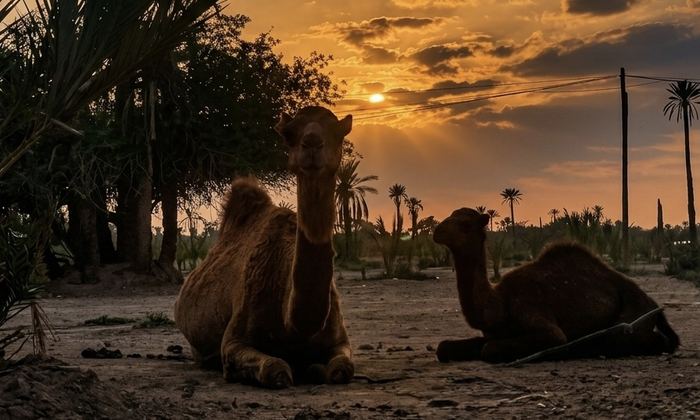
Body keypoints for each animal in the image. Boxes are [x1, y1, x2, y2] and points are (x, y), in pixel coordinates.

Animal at [174, 106, 354, 388]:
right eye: (289, 134)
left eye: (339, 131)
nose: (312, 143)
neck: (293, 326)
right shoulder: (234, 342)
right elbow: (275, 369)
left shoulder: (340, 341)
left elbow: (342, 369)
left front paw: (315, 367)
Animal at [433, 208, 679, 364]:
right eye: (450, 215)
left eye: (465, 224)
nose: (437, 231)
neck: (499, 303)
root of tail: (655, 307)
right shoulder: (493, 332)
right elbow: (443, 347)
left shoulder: (536, 315)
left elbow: (489, 349)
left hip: (631, 315)